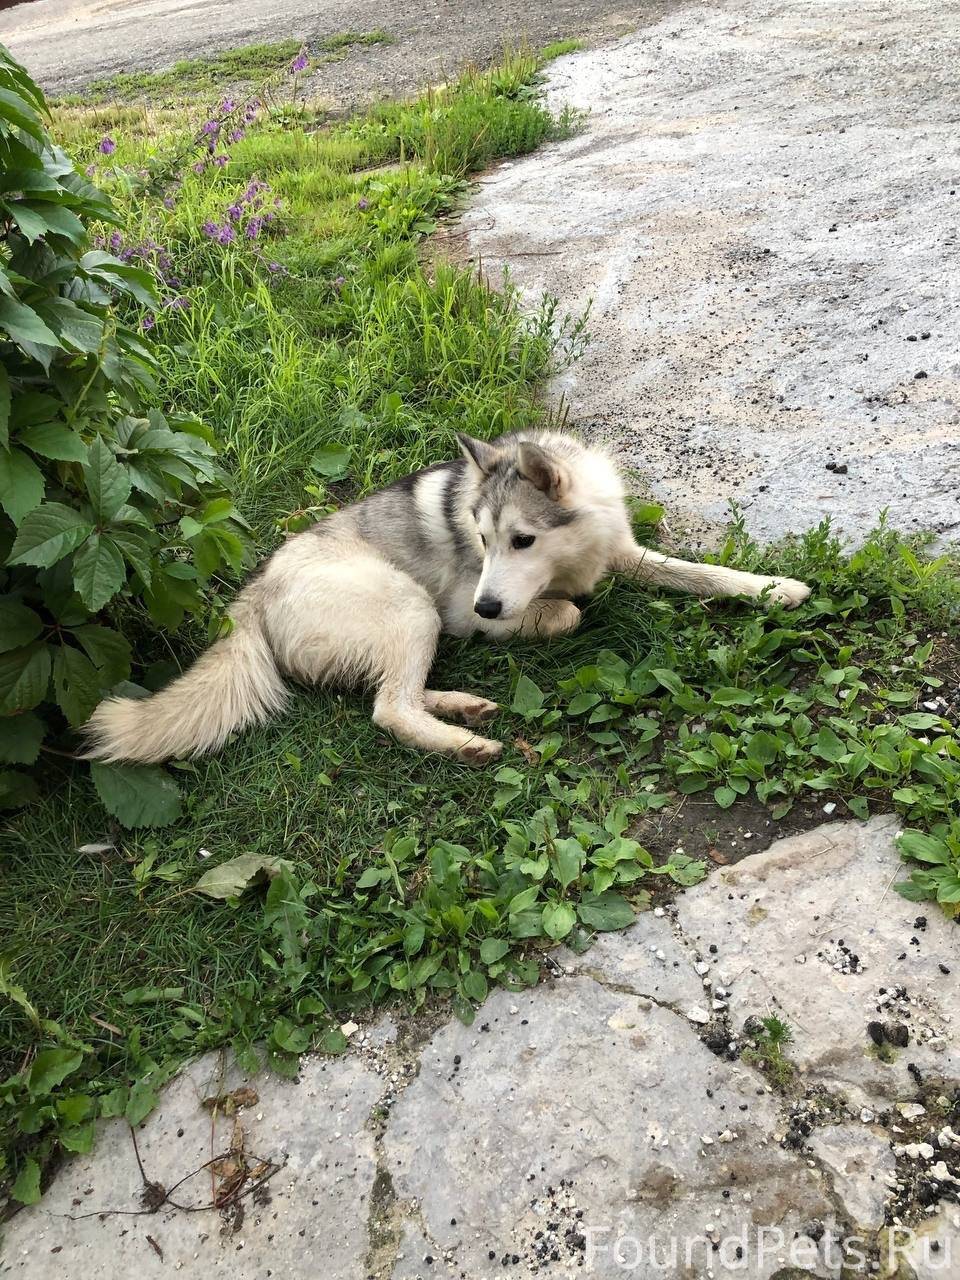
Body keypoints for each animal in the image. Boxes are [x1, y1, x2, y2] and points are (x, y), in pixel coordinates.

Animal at [84, 435, 814, 762]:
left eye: (521, 539)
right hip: (413, 606)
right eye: (482, 540)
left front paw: (772, 588)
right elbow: (570, 610)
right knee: (388, 708)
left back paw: (461, 704)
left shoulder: (624, 554)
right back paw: (463, 741)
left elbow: (699, 572)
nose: (490, 611)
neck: (570, 557)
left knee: (386, 690)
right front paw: (563, 608)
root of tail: (250, 595)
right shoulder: (472, 608)